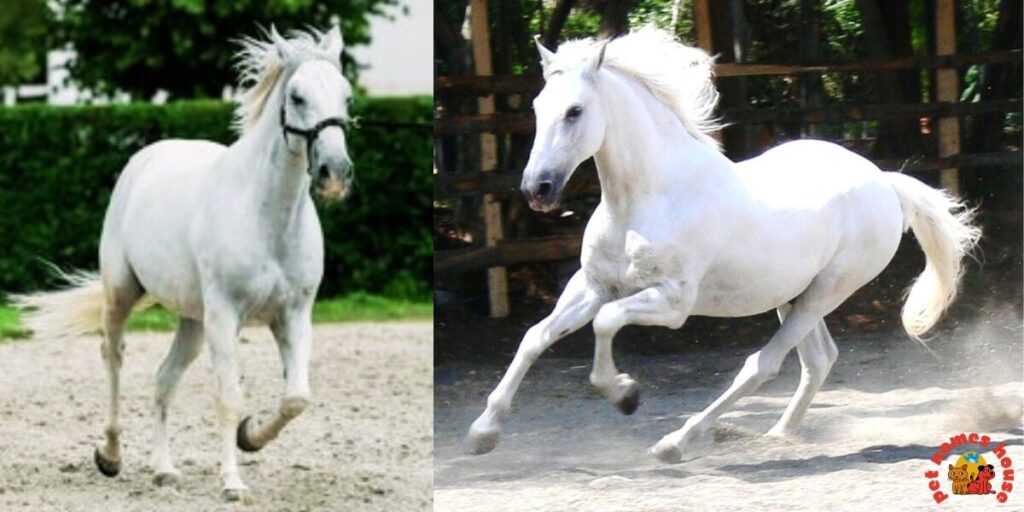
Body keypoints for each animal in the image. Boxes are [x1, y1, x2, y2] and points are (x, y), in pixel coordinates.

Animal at [15, 26, 353, 501]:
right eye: (298, 96)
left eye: (346, 97)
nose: (334, 174)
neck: (267, 216)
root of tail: (146, 157)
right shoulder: (225, 315)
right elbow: (228, 397)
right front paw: (232, 483)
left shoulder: (294, 315)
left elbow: (296, 397)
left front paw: (250, 436)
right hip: (123, 295)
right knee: (114, 356)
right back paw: (111, 456)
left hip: (193, 321)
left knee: (164, 379)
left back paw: (164, 470)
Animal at [465, 27, 980, 463]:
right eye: (537, 107)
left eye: (575, 111)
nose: (538, 189)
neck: (644, 199)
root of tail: (884, 182)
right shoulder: (593, 285)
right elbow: (535, 337)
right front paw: (482, 433)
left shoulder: (671, 302)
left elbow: (606, 323)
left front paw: (625, 394)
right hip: (791, 295)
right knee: (817, 360)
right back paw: (779, 434)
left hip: (826, 292)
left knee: (764, 364)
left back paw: (677, 442)